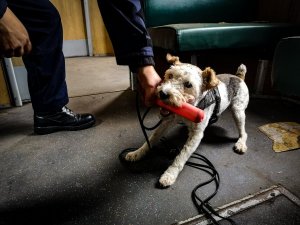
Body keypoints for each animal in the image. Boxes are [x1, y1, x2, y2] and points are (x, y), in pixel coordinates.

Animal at [123, 53, 248, 187]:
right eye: (170, 75)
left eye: (188, 85)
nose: (163, 94)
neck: (193, 105)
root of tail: (239, 77)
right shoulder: (167, 121)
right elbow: (152, 138)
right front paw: (137, 153)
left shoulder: (196, 134)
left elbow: (181, 155)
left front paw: (169, 175)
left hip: (238, 111)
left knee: (243, 133)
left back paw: (241, 144)